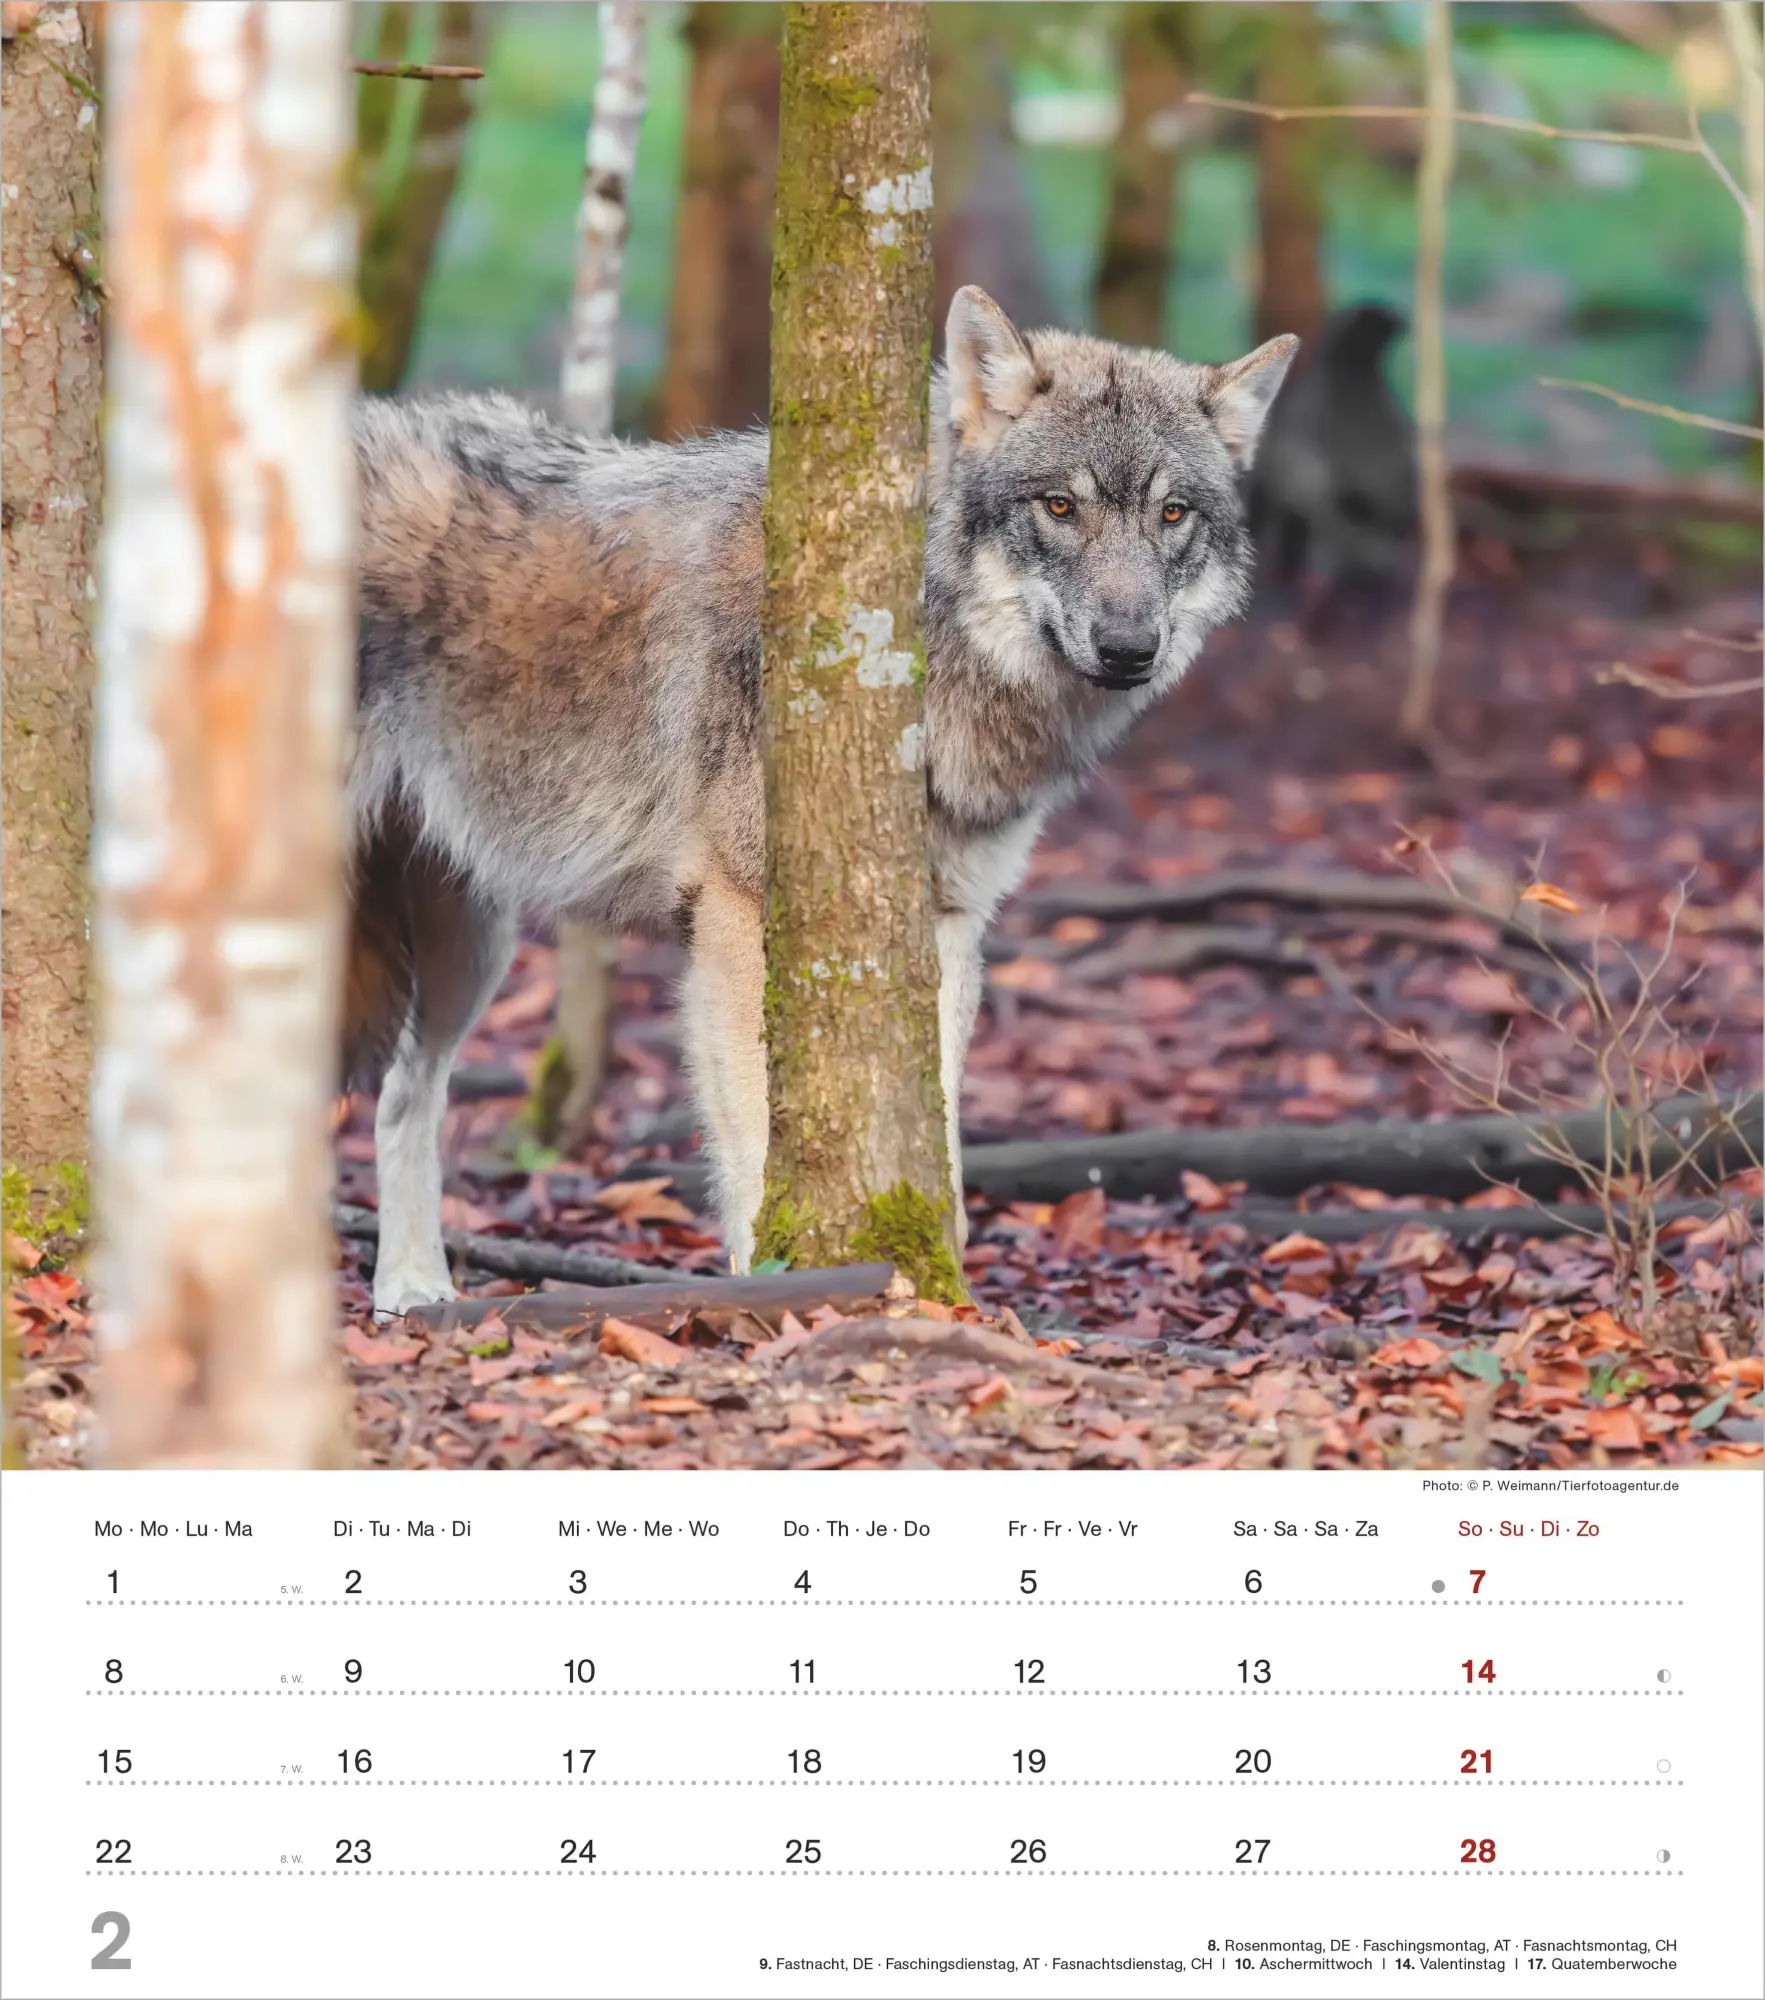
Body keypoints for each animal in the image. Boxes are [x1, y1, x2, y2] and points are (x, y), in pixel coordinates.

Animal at [347, 287, 1295, 1317]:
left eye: (1172, 513)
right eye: (1058, 506)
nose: (1129, 649)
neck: (920, 653)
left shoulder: (946, 924)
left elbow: (933, 1142)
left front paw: (941, 1287)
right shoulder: (734, 917)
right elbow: (756, 1147)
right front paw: (772, 1292)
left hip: (465, 952)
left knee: (402, 1096)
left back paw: (411, 1293)